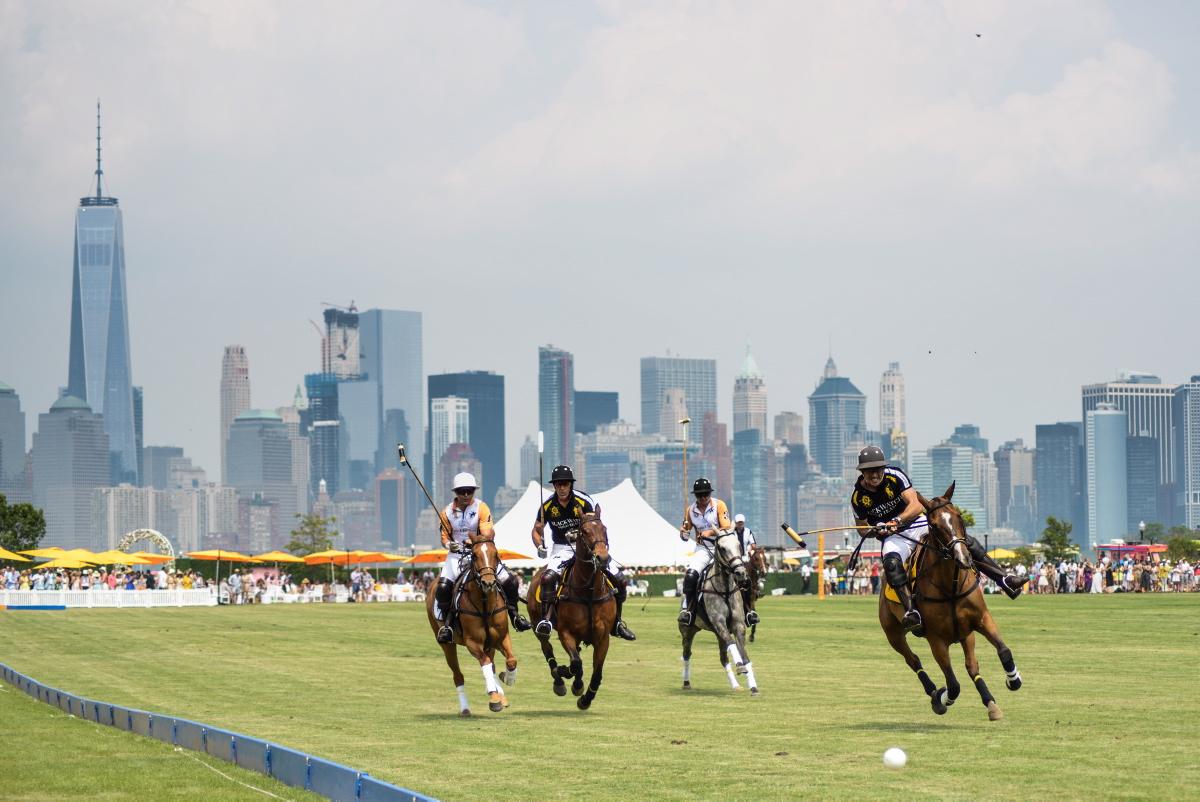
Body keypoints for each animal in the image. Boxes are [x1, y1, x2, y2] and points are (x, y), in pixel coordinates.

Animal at [424, 533, 518, 715]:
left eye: (496, 554)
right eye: (474, 555)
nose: (489, 583)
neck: (485, 605)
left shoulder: (501, 637)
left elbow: (511, 660)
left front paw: (506, 679)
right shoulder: (472, 642)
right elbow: (485, 663)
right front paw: (494, 698)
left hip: (489, 644)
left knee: (493, 664)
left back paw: (501, 695)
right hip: (446, 644)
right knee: (458, 675)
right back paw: (465, 708)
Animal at [528, 511, 614, 710]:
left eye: (604, 528)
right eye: (584, 531)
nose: (602, 558)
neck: (589, 590)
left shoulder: (603, 637)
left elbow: (597, 671)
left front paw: (586, 699)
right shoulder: (566, 633)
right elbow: (575, 663)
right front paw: (572, 680)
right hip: (538, 625)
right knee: (547, 649)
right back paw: (559, 680)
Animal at [676, 528, 758, 691]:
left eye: (739, 545)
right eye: (721, 548)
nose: (740, 573)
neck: (725, 589)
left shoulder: (738, 625)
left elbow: (743, 653)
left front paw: (753, 686)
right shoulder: (719, 622)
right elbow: (732, 643)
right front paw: (740, 667)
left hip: (717, 633)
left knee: (723, 658)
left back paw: (735, 686)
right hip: (687, 631)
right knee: (687, 654)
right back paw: (686, 682)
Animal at [878, 482, 1027, 720]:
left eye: (959, 517)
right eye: (934, 525)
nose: (963, 558)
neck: (950, 586)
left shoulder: (981, 619)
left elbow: (1003, 650)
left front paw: (1013, 680)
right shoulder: (936, 639)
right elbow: (953, 684)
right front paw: (941, 697)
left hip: (966, 635)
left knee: (971, 666)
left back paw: (990, 702)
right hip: (893, 633)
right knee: (913, 660)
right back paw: (934, 693)